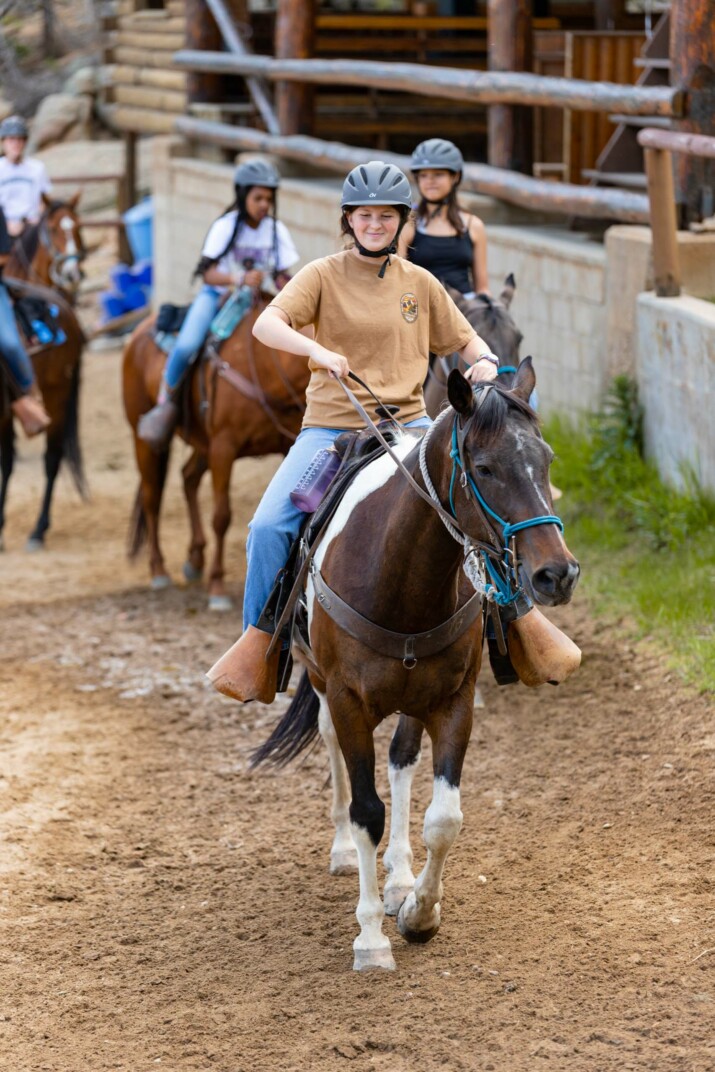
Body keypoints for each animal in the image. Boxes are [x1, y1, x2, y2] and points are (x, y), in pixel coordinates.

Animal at [122, 298, 310, 608]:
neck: (266, 363)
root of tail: (136, 335)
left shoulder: (286, 446)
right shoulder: (224, 447)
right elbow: (222, 516)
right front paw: (218, 587)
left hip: (202, 446)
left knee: (188, 478)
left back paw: (195, 559)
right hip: (144, 440)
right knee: (152, 497)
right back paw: (159, 570)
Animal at [254, 358, 578, 973]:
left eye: (547, 459)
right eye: (484, 467)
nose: (557, 574)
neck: (399, 571)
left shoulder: (453, 700)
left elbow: (443, 818)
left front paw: (419, 913)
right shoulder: (349, 701)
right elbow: (366, 810)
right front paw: (370, 938)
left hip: (413, 694)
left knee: (402, 759)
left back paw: (401, 878)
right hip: (319, 678)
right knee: (331, 742)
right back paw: (342, 851)